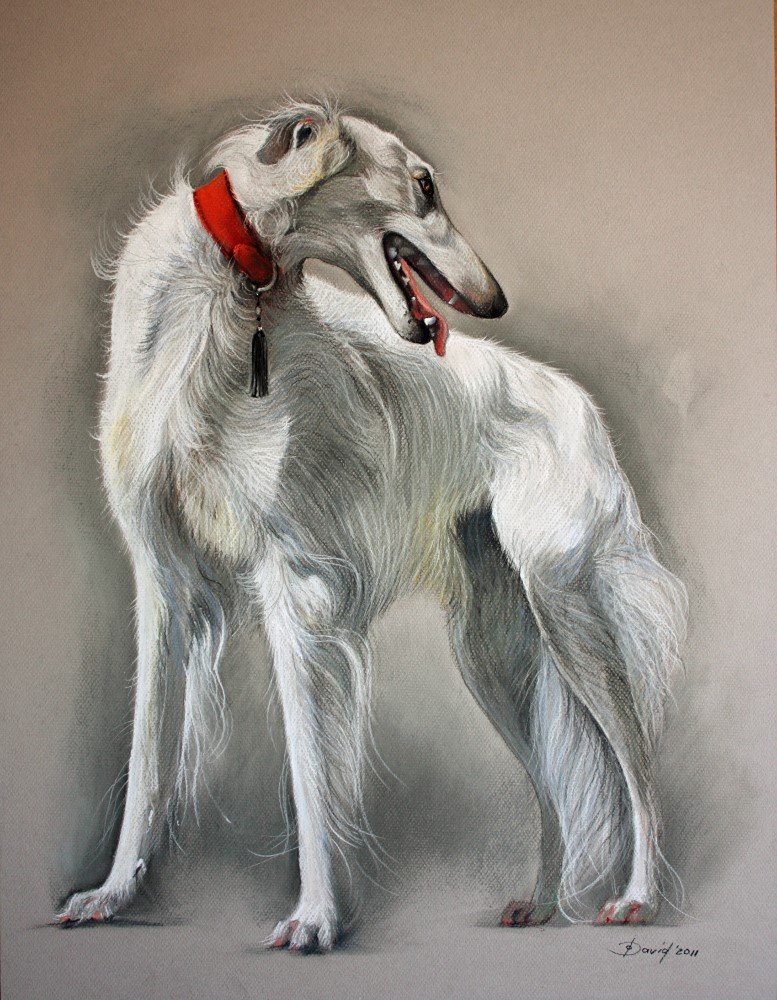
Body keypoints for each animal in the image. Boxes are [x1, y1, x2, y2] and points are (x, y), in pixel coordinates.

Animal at [56, 100, 686, 951]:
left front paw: (315, 916)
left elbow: (309, 768)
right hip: (492, 649)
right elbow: (147, 761)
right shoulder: (162, 579)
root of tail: (576, 399)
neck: (233, 288)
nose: (495, 302)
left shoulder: (293, 580)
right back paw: (539, 900)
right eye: (423, 185)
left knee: (634, 760)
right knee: (551, 779)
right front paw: (112, 893)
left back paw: (639, 896)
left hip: (568, 607)